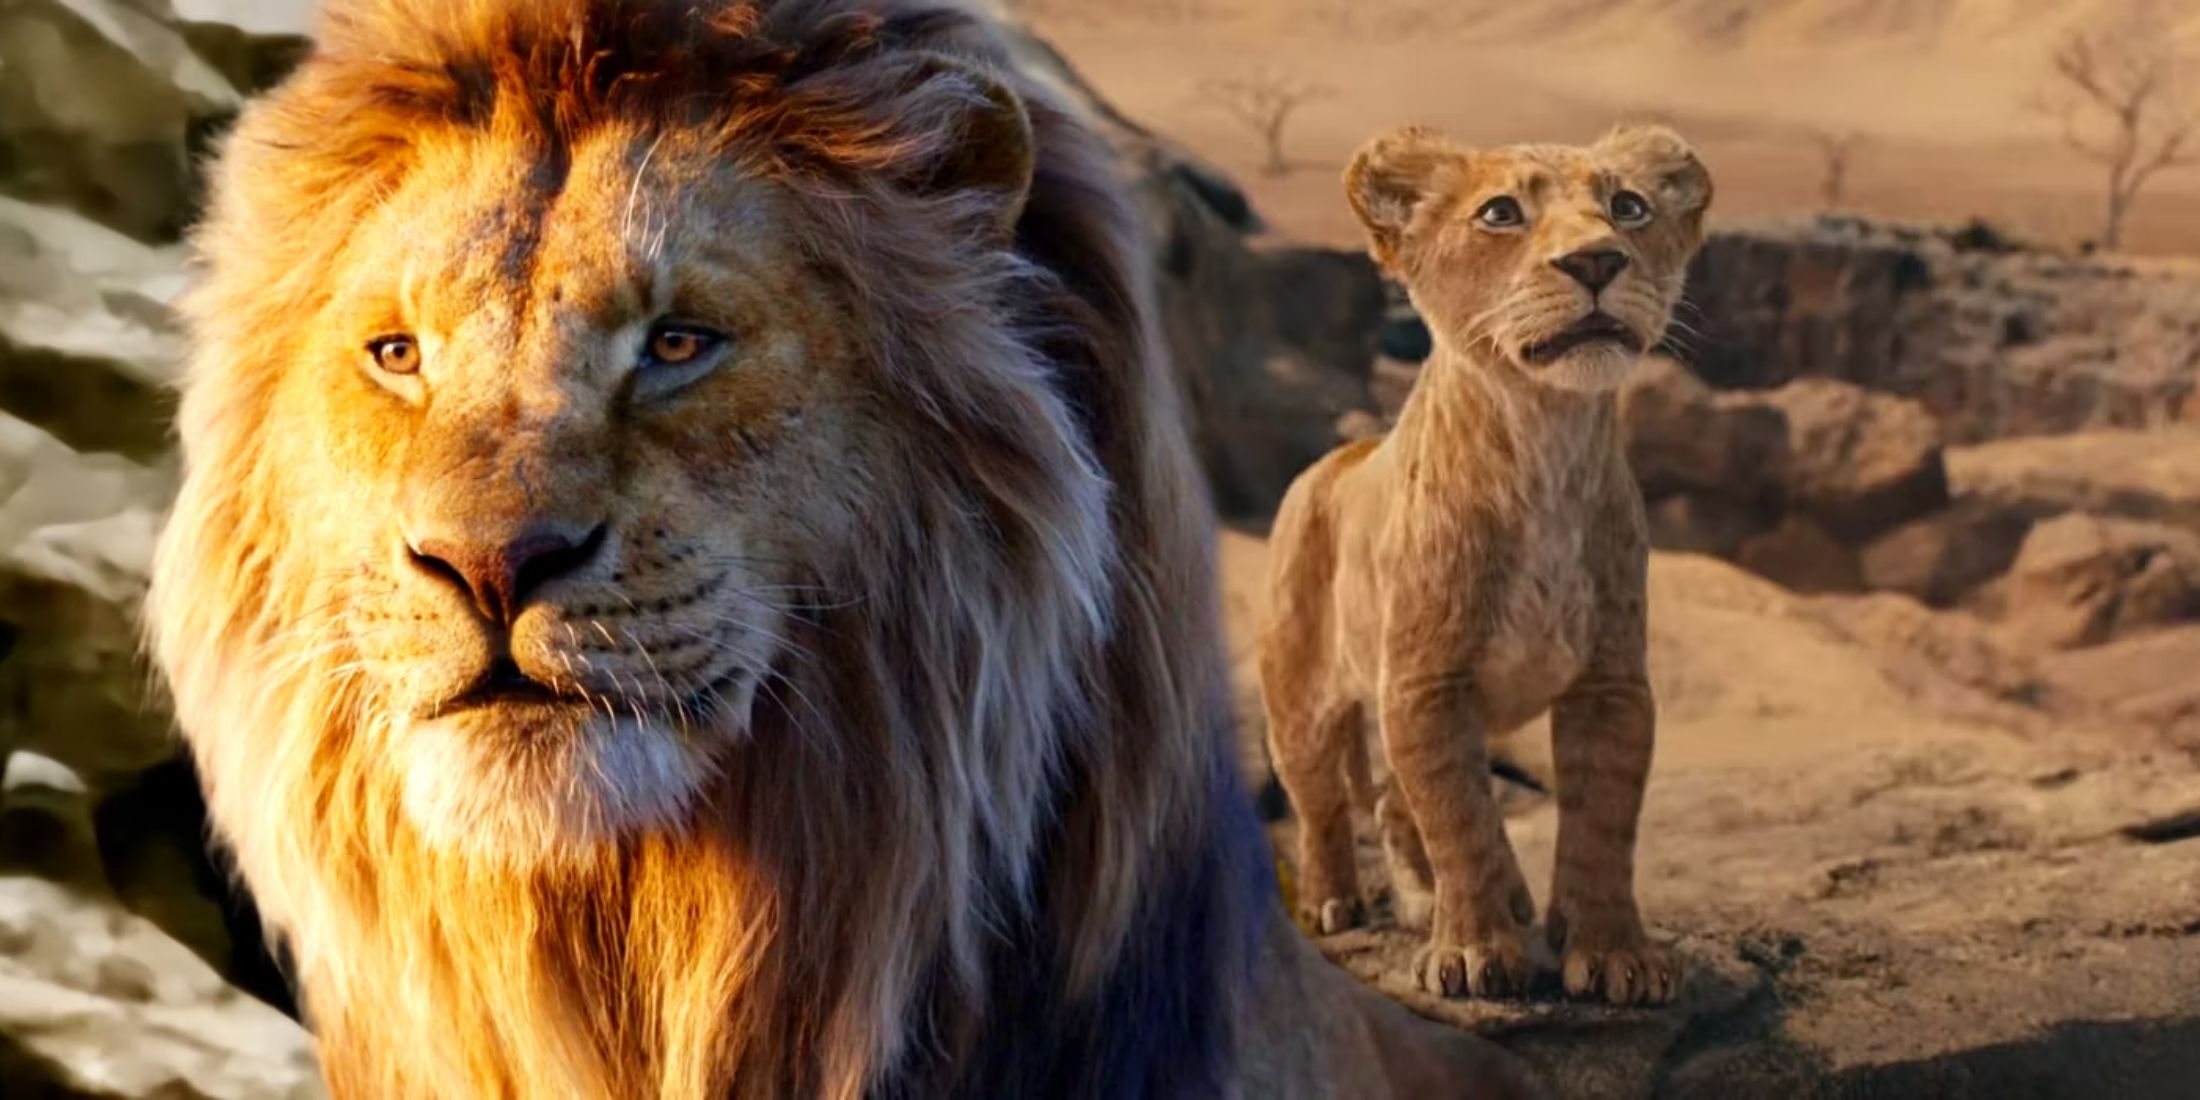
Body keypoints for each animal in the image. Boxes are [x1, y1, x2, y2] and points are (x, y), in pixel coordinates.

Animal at [1259, 125, 1714, 1007]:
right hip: (1300, 699)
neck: (1545, 441)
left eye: (1628, 206)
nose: (1597, 261)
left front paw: (1612, 953)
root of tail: (1336, 457)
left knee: (1395, 806)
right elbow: (1460, 817)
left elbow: (1603, 822)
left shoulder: (1611, 683)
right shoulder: (1425, 684)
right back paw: (1336, 902)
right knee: (1325, 802)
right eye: (1501, 213)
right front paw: (1472, 954)